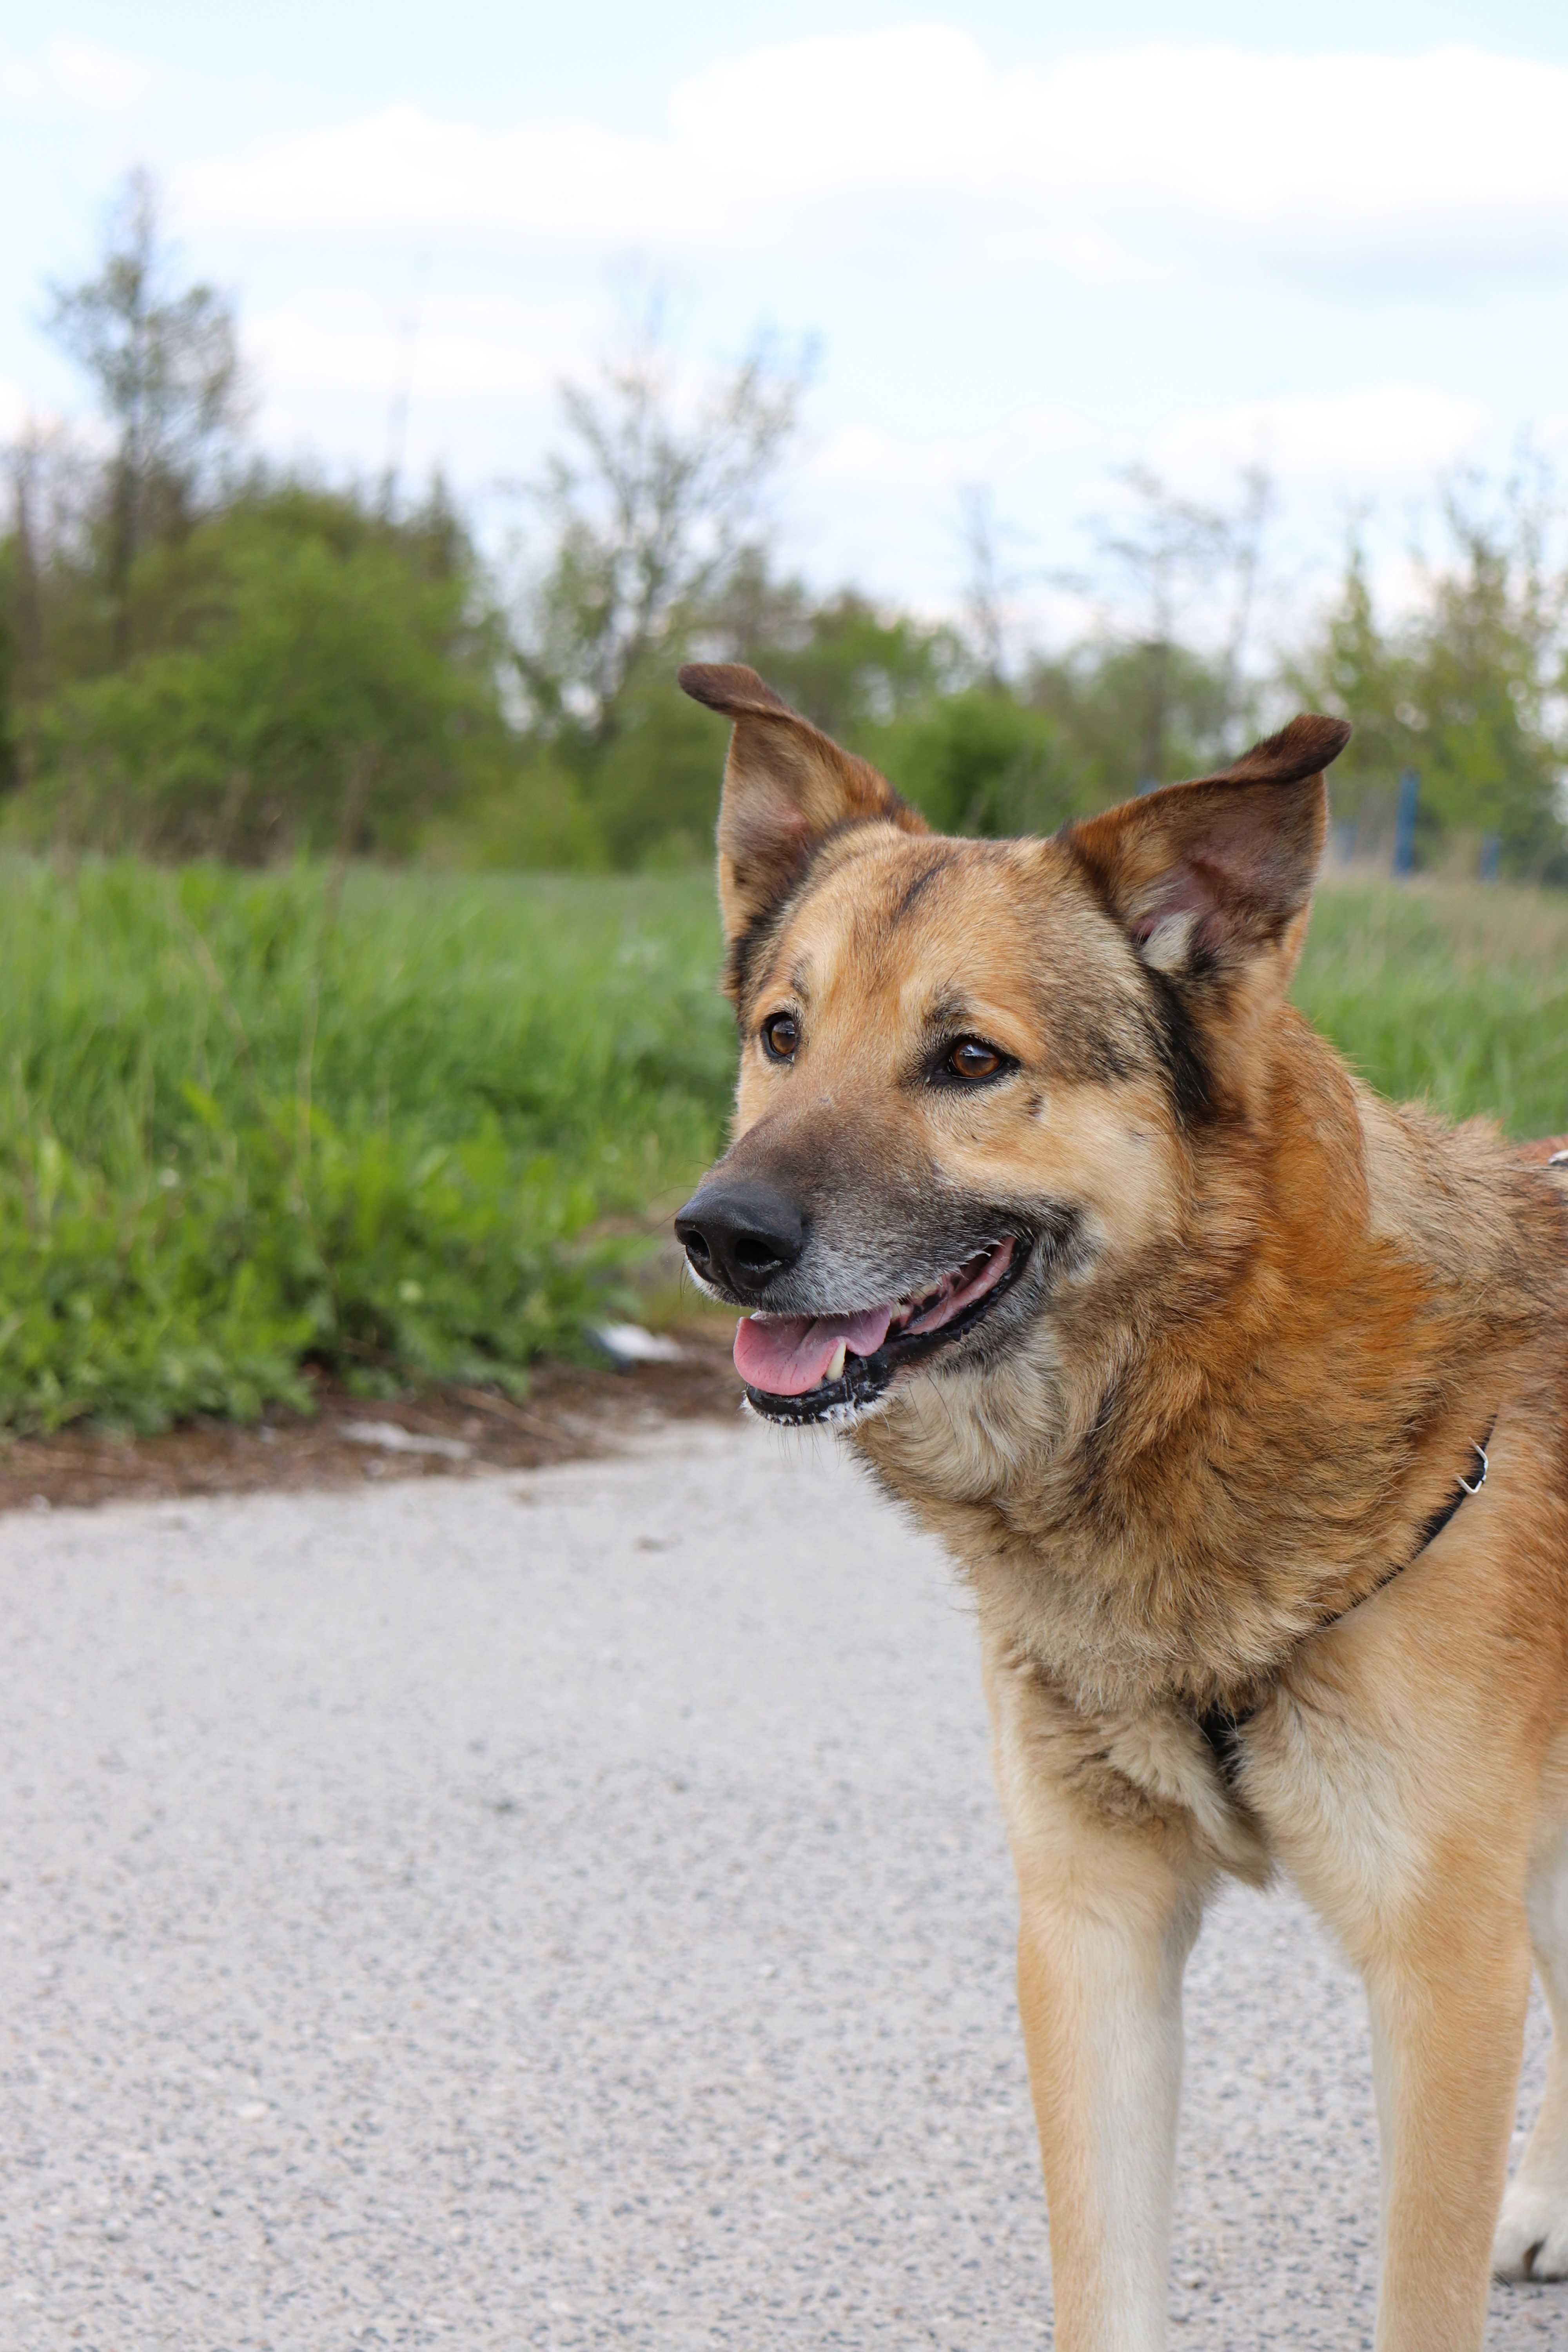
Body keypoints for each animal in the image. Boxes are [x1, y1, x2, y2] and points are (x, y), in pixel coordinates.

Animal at [672, 663, 1568, 2352]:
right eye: (782, 1034)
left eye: (970, 1060)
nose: (719, 1234)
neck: (1196, 1383)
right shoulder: (1096, 1937)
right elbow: (1105, 2284)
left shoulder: (1439, 1968)